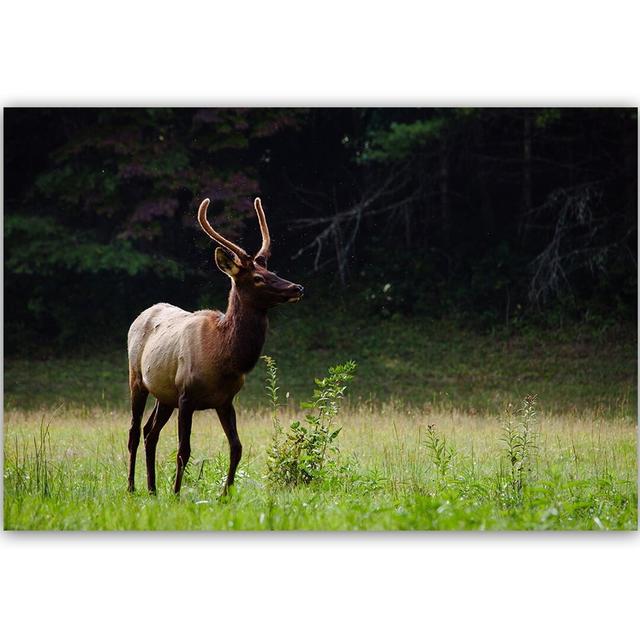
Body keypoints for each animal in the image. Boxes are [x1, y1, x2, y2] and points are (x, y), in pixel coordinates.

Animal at [127, 198, 304, 498]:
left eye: (273, 271)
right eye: (257, 278)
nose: (297, 287)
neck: (223, 357)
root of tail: (141, 314)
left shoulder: (225, 400)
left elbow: (237, 447)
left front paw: (226, 494)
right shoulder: (186, 395)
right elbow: (183, 451)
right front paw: (177, 494)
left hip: (165, 395)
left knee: (150, 432)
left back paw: (152, 489)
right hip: (137, 379)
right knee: (134, 432)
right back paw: (131, 486)